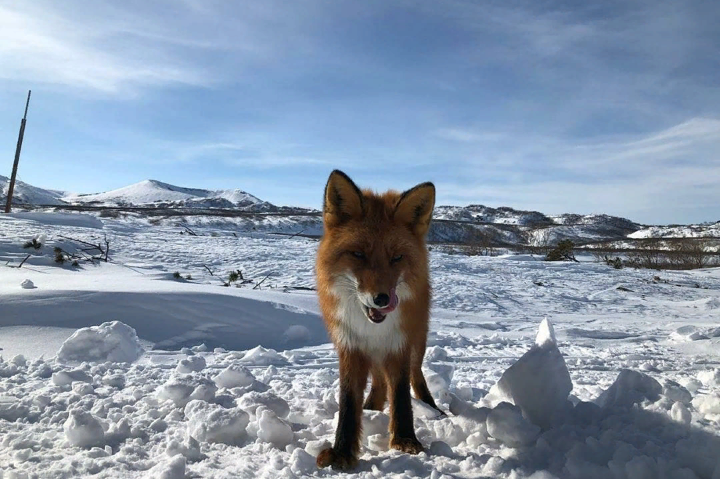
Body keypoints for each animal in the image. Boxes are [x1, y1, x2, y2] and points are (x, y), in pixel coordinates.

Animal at [316, 170, 442, 468]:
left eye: (396, 257)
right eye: (358, 254)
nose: (382, 299)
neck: (372, 328)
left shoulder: (398, 345)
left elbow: (401, 395)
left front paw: (406, 440)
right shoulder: (351, 346)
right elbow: (348, 402)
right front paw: (342, 451)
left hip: (417, 343)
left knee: (415, 376)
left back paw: (432, 407)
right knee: (379, 384)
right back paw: (371, 408)